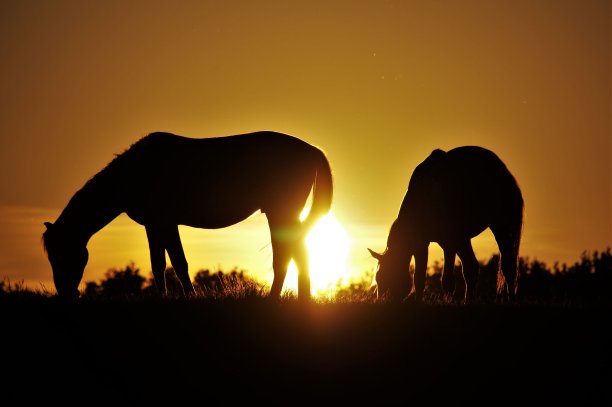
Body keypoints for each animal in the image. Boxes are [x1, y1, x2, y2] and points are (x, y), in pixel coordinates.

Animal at [41, 132, 334, 302]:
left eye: (62, 253)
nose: (66, 293)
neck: (135, 172)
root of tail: (312, 149)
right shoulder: (156, 225)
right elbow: (163, 263)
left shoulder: (164, 222)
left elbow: (175, 263)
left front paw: (184, 297)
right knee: (299, 253)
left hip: (281, 212)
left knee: (287, 256)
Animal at [366, 147, 524, 302]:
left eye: (385, 276)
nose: (382, 301)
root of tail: (502, 170)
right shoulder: (438, 244)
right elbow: (437, 280)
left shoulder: (448, 240)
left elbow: (427, 278)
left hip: (499, 226)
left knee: (501, 266)